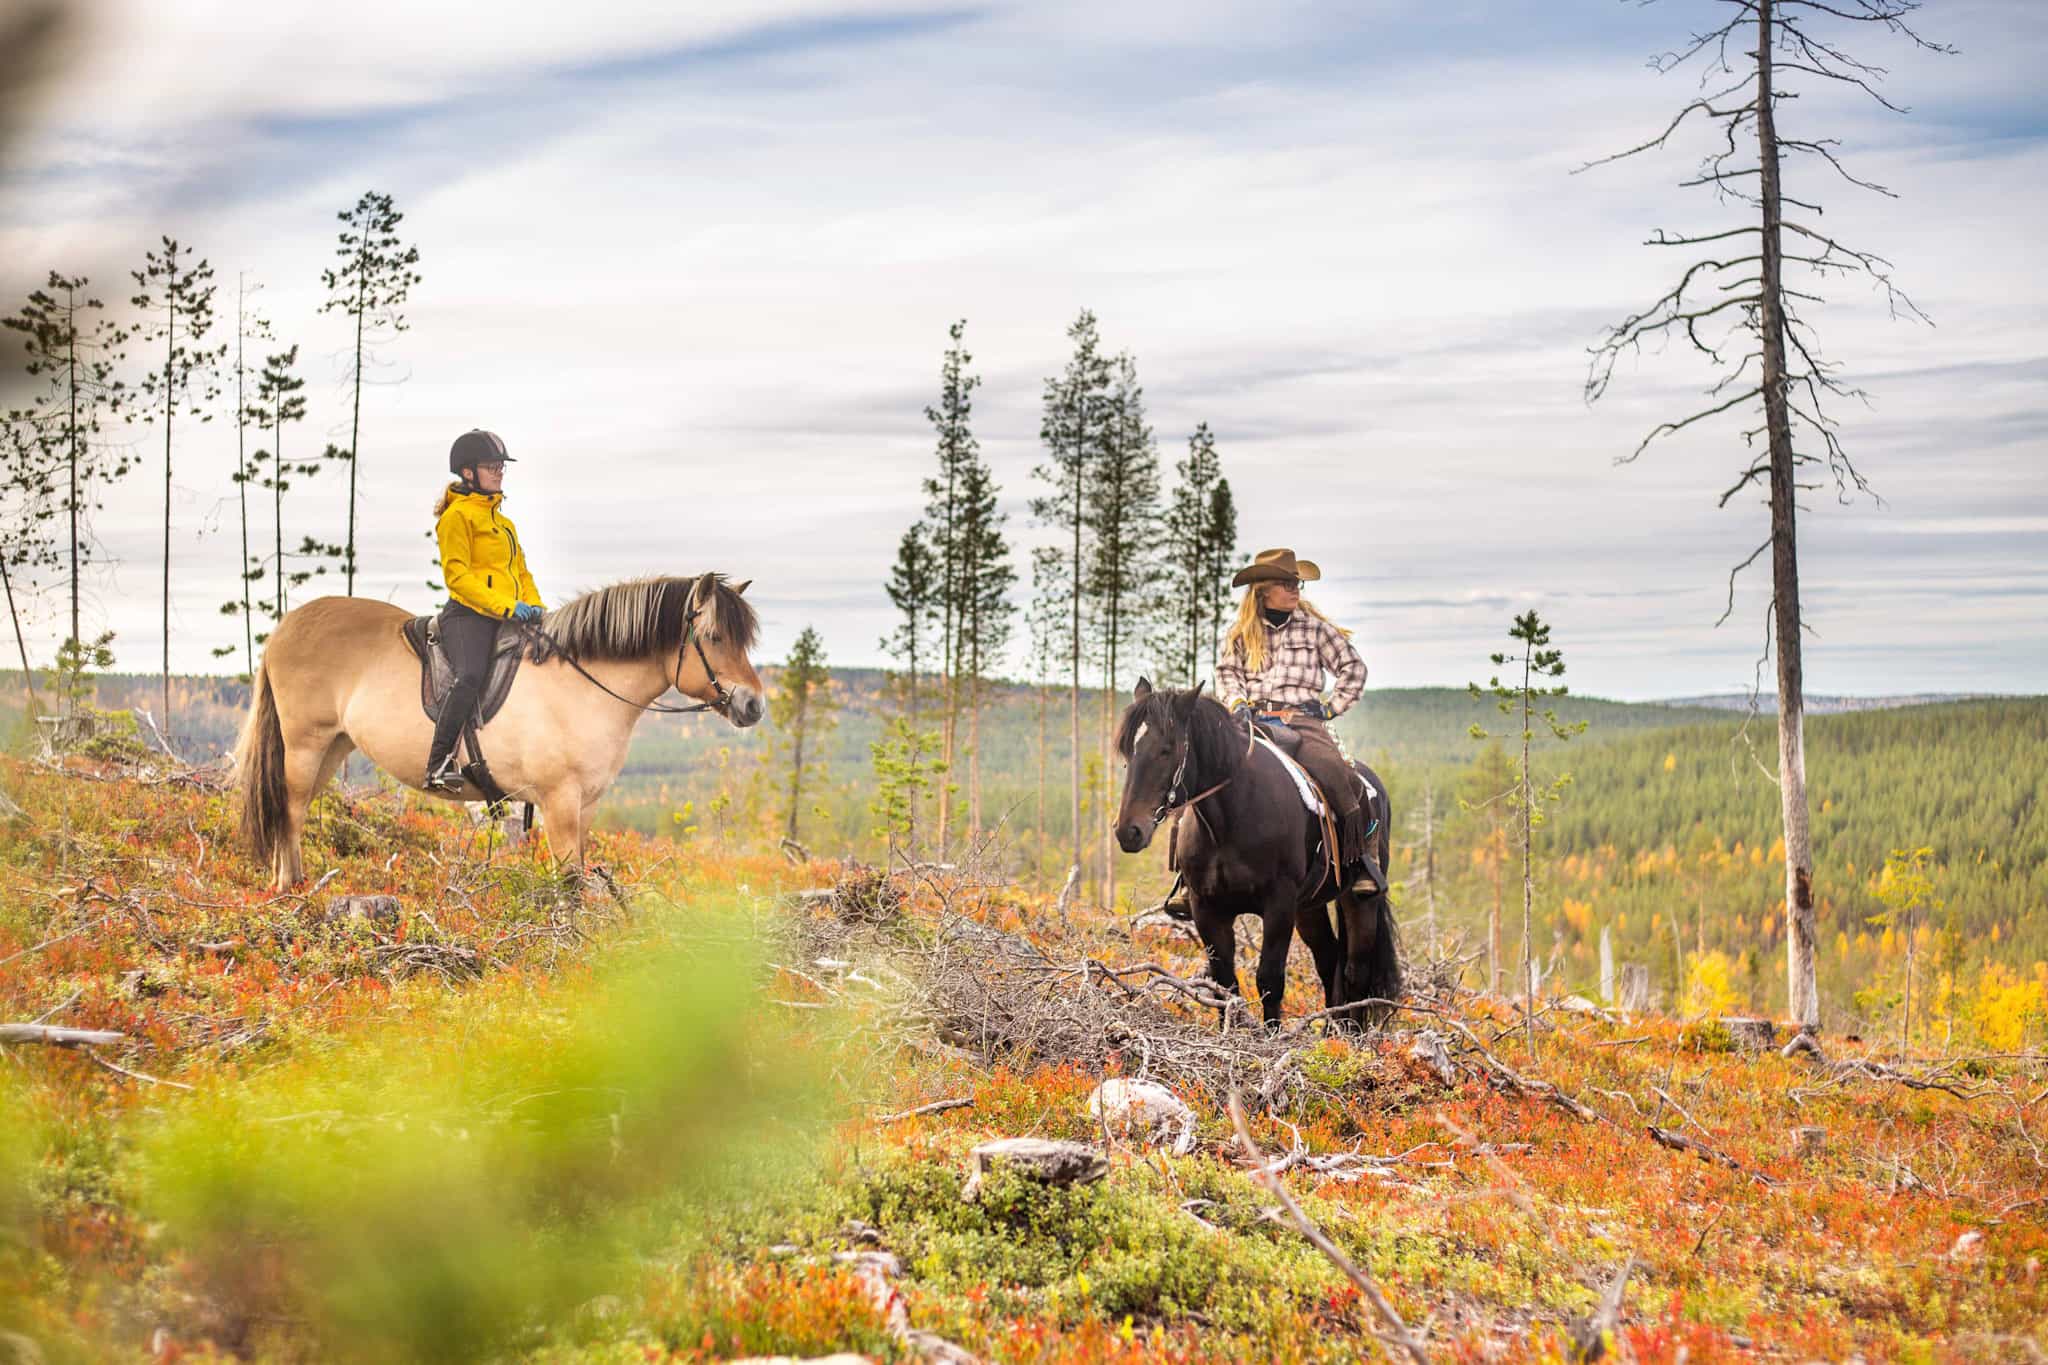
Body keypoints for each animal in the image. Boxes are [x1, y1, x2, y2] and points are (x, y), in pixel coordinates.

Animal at [234, 572, 764, 889]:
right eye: (714, 637)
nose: (754, 705)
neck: (580, 685)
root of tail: (284, 628)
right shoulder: (558, 802)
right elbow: (569, 881)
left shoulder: (586, 805)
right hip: (305, 744)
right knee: (290, 810)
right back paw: (287, 889)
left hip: (333, 746)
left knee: (294, 810)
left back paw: (295, 883)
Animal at [1113, 679, 1400, 1028]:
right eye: (1128, 751)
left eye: (1166, 750)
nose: (1128, 831)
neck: (1230, 820)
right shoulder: (1207, 908)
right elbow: (1225, 984)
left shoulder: (1278, 905)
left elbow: (1269, 980)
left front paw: (1271, 1036)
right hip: (1308, 908)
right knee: (1329, 958)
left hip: (1358, 900)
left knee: (1356, 971)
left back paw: (1351, 1035)